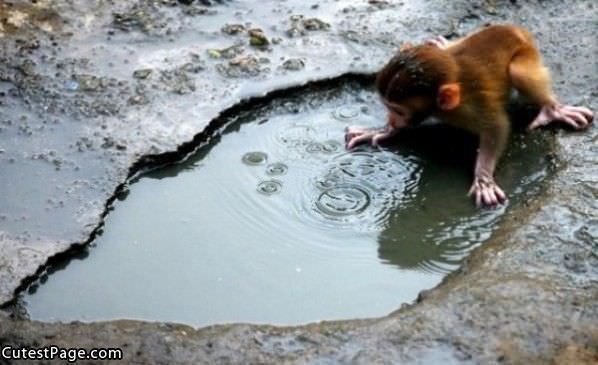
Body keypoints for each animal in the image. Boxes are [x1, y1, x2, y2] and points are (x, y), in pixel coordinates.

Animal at [346, 25, 596, 206]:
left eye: (398, 111)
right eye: (387, 107)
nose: (391, 119)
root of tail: (514, 29)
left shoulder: (471, 107)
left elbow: (497, 127)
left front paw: (483, 178)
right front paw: (381, 131)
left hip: (527, 54)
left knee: (518, 71)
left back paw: (553, 109)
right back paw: (444, 44)